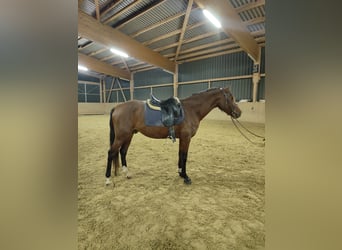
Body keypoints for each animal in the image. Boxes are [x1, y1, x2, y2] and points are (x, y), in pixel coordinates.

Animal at [105, 87, 242, 185]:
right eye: (231, 98)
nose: (239, 113)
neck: (191, 110)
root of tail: (117, 107)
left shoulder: (183, 139)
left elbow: (180, 155)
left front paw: (181, 173)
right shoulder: (186, 138)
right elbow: (185, 156)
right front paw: (186, 177)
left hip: (128, 136)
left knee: (123, 152)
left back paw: (127, 173)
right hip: (121, 136)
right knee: (111, 153)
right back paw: (108, 179)